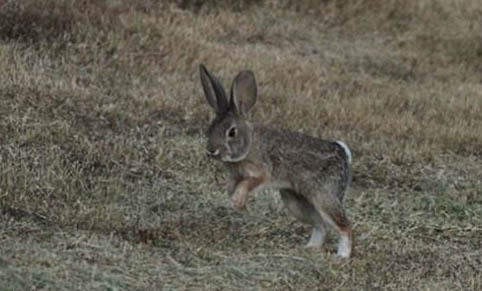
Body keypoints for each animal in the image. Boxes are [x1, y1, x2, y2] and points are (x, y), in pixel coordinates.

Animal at [200, 64, 354, 258]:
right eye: (211, 127)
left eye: (232, 132)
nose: (211, 150)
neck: (250, 143)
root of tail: (343, 153)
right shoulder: (235, 175)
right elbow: (232, 187)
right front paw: (238, 205)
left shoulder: (261, 171)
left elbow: (248, 184)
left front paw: (238, 203)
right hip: (296, 202)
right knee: (321, 225)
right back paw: (309, 248)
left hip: (324, 197)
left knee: (345, 226)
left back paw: (342, 256)